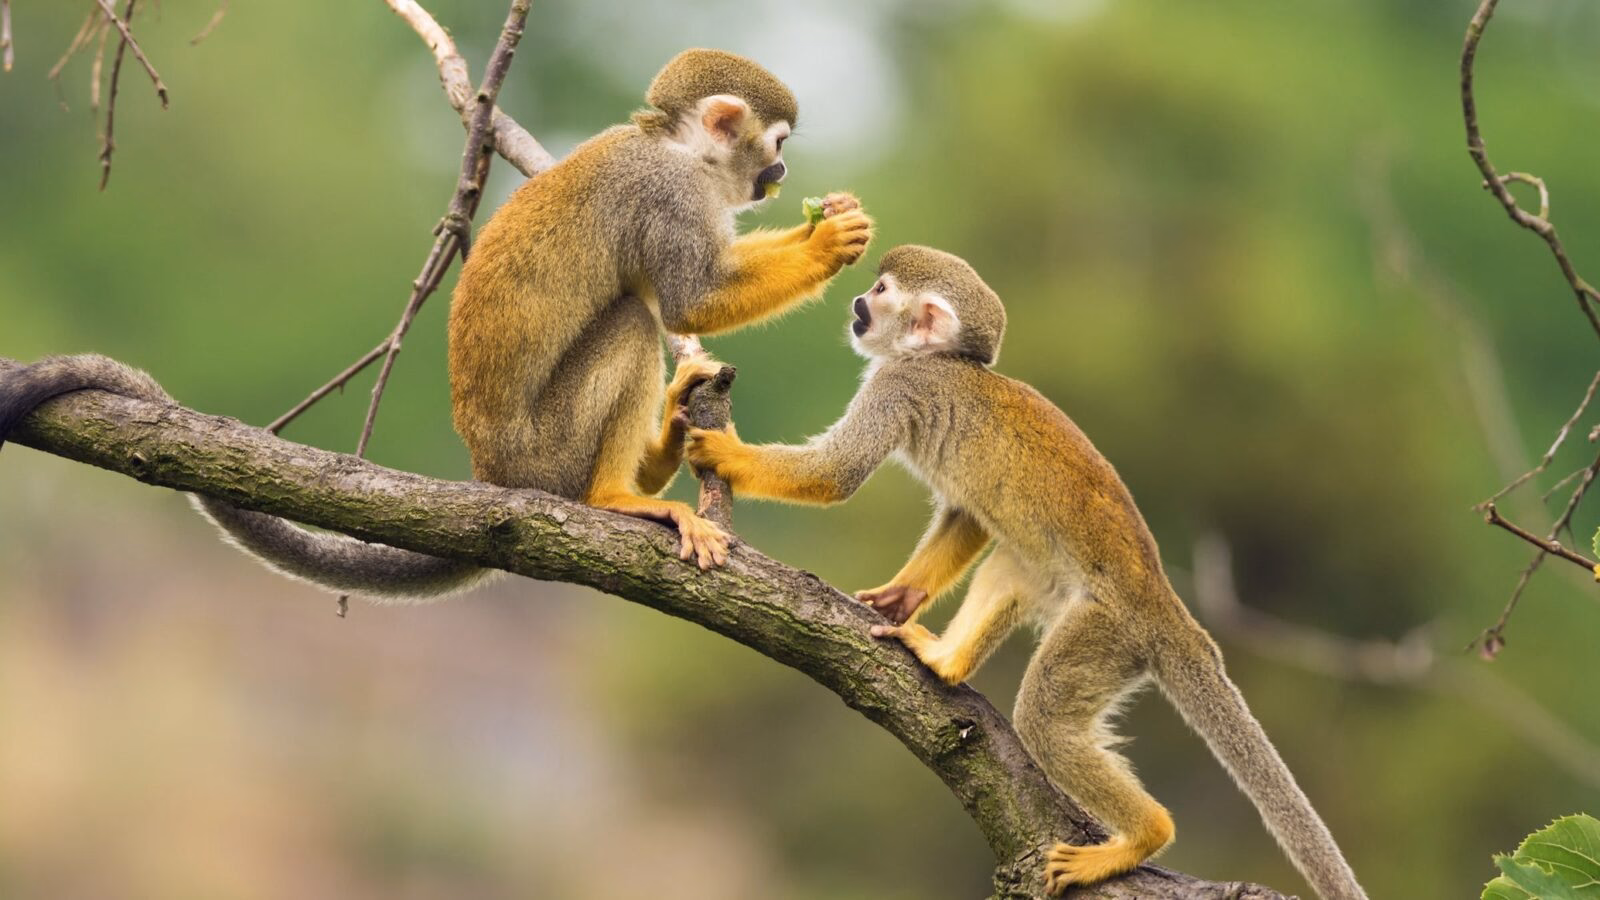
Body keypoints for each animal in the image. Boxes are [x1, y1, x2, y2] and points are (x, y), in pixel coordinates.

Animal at [0, 48, 873, 601]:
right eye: (776, 144)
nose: (781, 173)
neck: (677, 150)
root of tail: (492, 477)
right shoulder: (667, 196)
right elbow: (691, 298)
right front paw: (827, 242)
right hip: (545, 453)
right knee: (630, 318)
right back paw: (616, 495)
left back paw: (661, 448)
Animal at [682, 245, 1367, 899]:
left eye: (879, 291)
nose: (855, 304)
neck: (943, 363)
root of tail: (1169, 611)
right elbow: (967, 516)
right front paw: (902, 596)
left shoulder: (899, 386)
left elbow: (836, 474)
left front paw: (724, 450)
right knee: (1011, 564)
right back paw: (947, 662)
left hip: (1108, 632)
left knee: (1046, 716)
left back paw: (1143, 836)